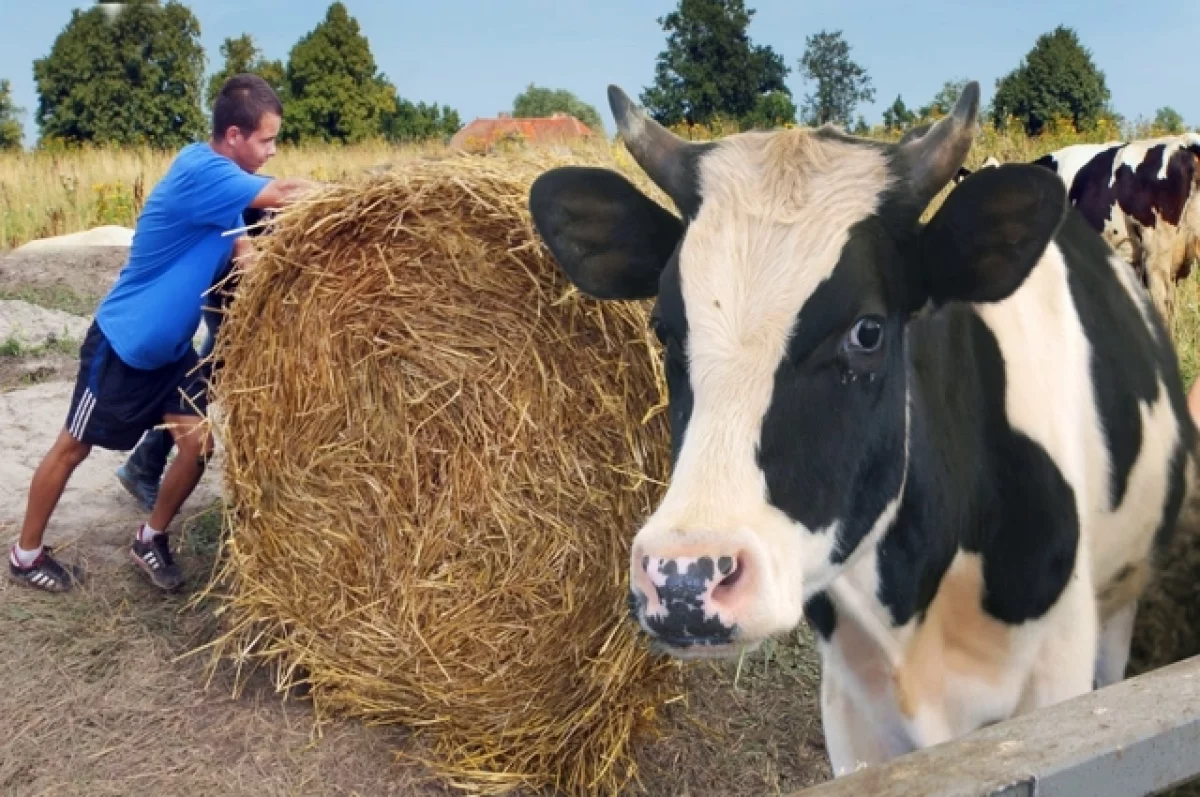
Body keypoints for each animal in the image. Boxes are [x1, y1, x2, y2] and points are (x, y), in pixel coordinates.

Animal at [528, 84, 1200, 772]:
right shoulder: (853, 712)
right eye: (664, 326)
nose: (685, 579)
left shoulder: (1057, 683)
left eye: (869, 330)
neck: (915, 597)